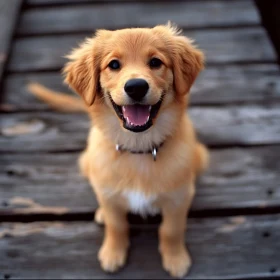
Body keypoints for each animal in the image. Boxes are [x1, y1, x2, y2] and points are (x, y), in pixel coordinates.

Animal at [29, 23, 208, 278]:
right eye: (113, 65)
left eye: (155, 62)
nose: (136, 87)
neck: (138, 147)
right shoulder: (108, 193)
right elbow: (117, 225)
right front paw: (112, 254)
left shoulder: (178, 198)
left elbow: (171, 229)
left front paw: (176, 259)